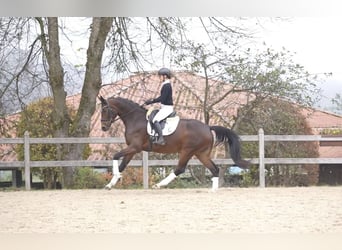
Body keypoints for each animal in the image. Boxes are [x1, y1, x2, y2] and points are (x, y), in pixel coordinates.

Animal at [99, 96, 248, 190]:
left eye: (105, 110)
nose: (104, 128)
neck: (135, 119)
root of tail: (207, 127)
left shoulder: (134, 147)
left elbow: (115, 156)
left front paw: (115, 177)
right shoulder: (133, 149)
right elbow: (122, 165)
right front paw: (110, 184)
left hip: (187, 151)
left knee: (180, 168)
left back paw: (159, 185)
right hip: (201, 153)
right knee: (214, 169)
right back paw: (213, 190)